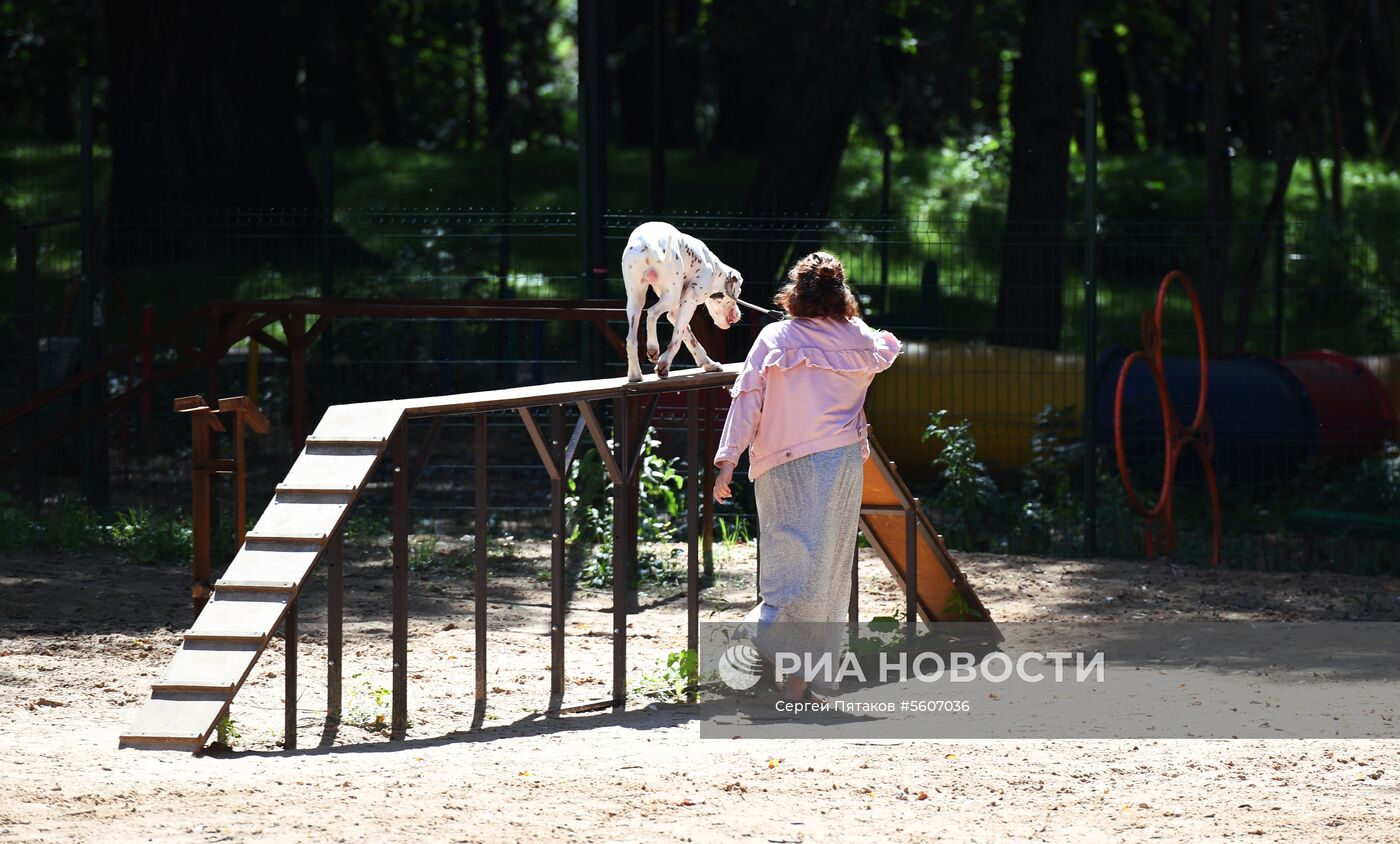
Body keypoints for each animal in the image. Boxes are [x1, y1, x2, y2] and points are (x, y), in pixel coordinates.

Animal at [616, 219, 739, 380]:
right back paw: (653, 348)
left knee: (631, 340)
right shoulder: (688, 303)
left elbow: (690, 339)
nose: (738, 315)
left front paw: (709, 364)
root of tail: (649, 240)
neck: (714, 267)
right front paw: (664, 364)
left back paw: (635, 374)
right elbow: (677, 340)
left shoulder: (675, 312)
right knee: (651, 313)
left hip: (636, 301)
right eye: (737, 295)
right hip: (670, 298)